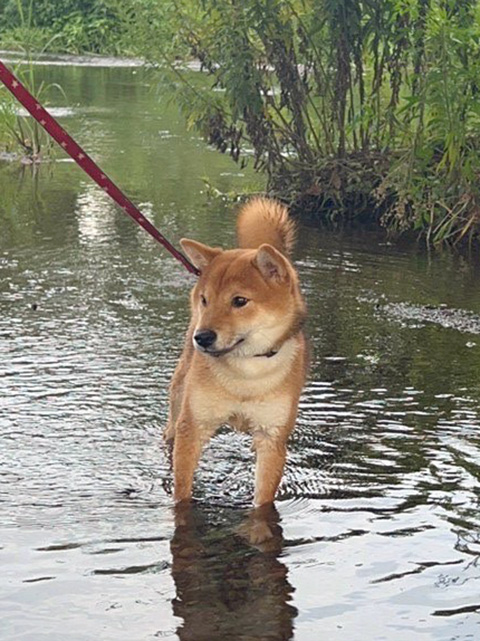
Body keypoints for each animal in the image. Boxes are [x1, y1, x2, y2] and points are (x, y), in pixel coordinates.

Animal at [165, 196, 308, 504]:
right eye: (205, 299)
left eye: (240, 301)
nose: (202, 337)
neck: (246, 375)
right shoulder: (193, 427)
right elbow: (183, 490)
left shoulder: (271, 438)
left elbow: (263, 497)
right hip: (180, 394)